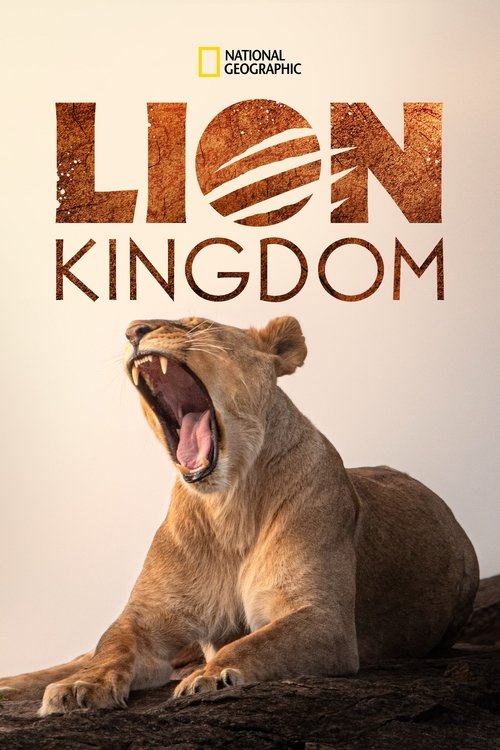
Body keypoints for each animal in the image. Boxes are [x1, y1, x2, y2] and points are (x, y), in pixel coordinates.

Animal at [0, 316, 479, 716]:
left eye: (198, 324)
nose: (134, 330)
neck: (228, 506)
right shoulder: (147, 619)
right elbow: (110, 649)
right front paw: (79, 687)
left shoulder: (325, 619)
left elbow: (254, 644)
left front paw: (210, 678)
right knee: (82, 653)